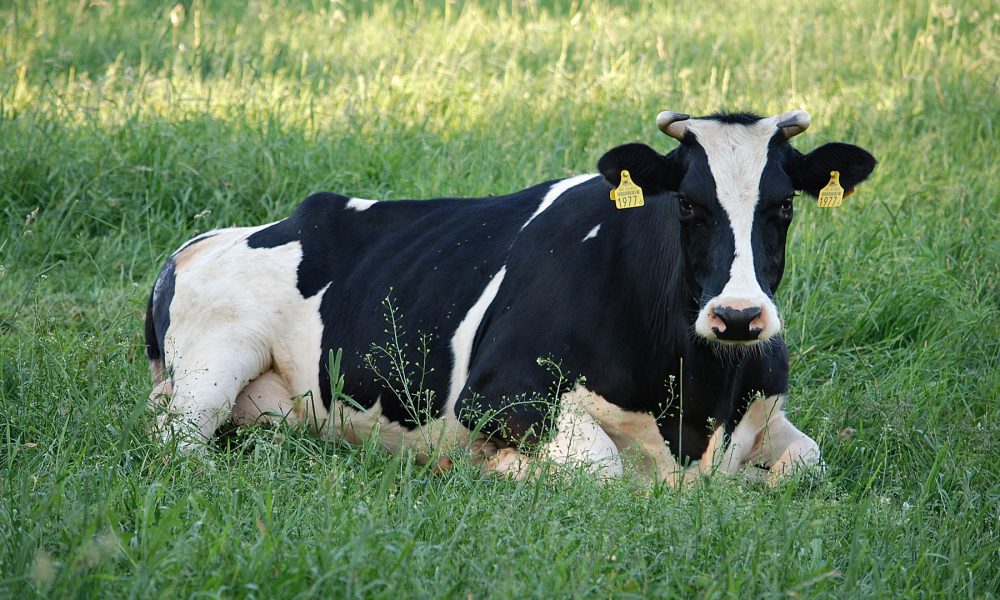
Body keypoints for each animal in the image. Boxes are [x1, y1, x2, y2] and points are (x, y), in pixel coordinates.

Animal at [145, 110, 876, 486]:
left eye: (784, 206)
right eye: (690, 205)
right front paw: (503, 471)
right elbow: (601, 466)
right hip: (216, 360)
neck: (697, 407)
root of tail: (202, 243)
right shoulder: (498, 396)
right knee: (176, 439)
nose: (738, 316)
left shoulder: (766, 408)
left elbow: (806, 462)